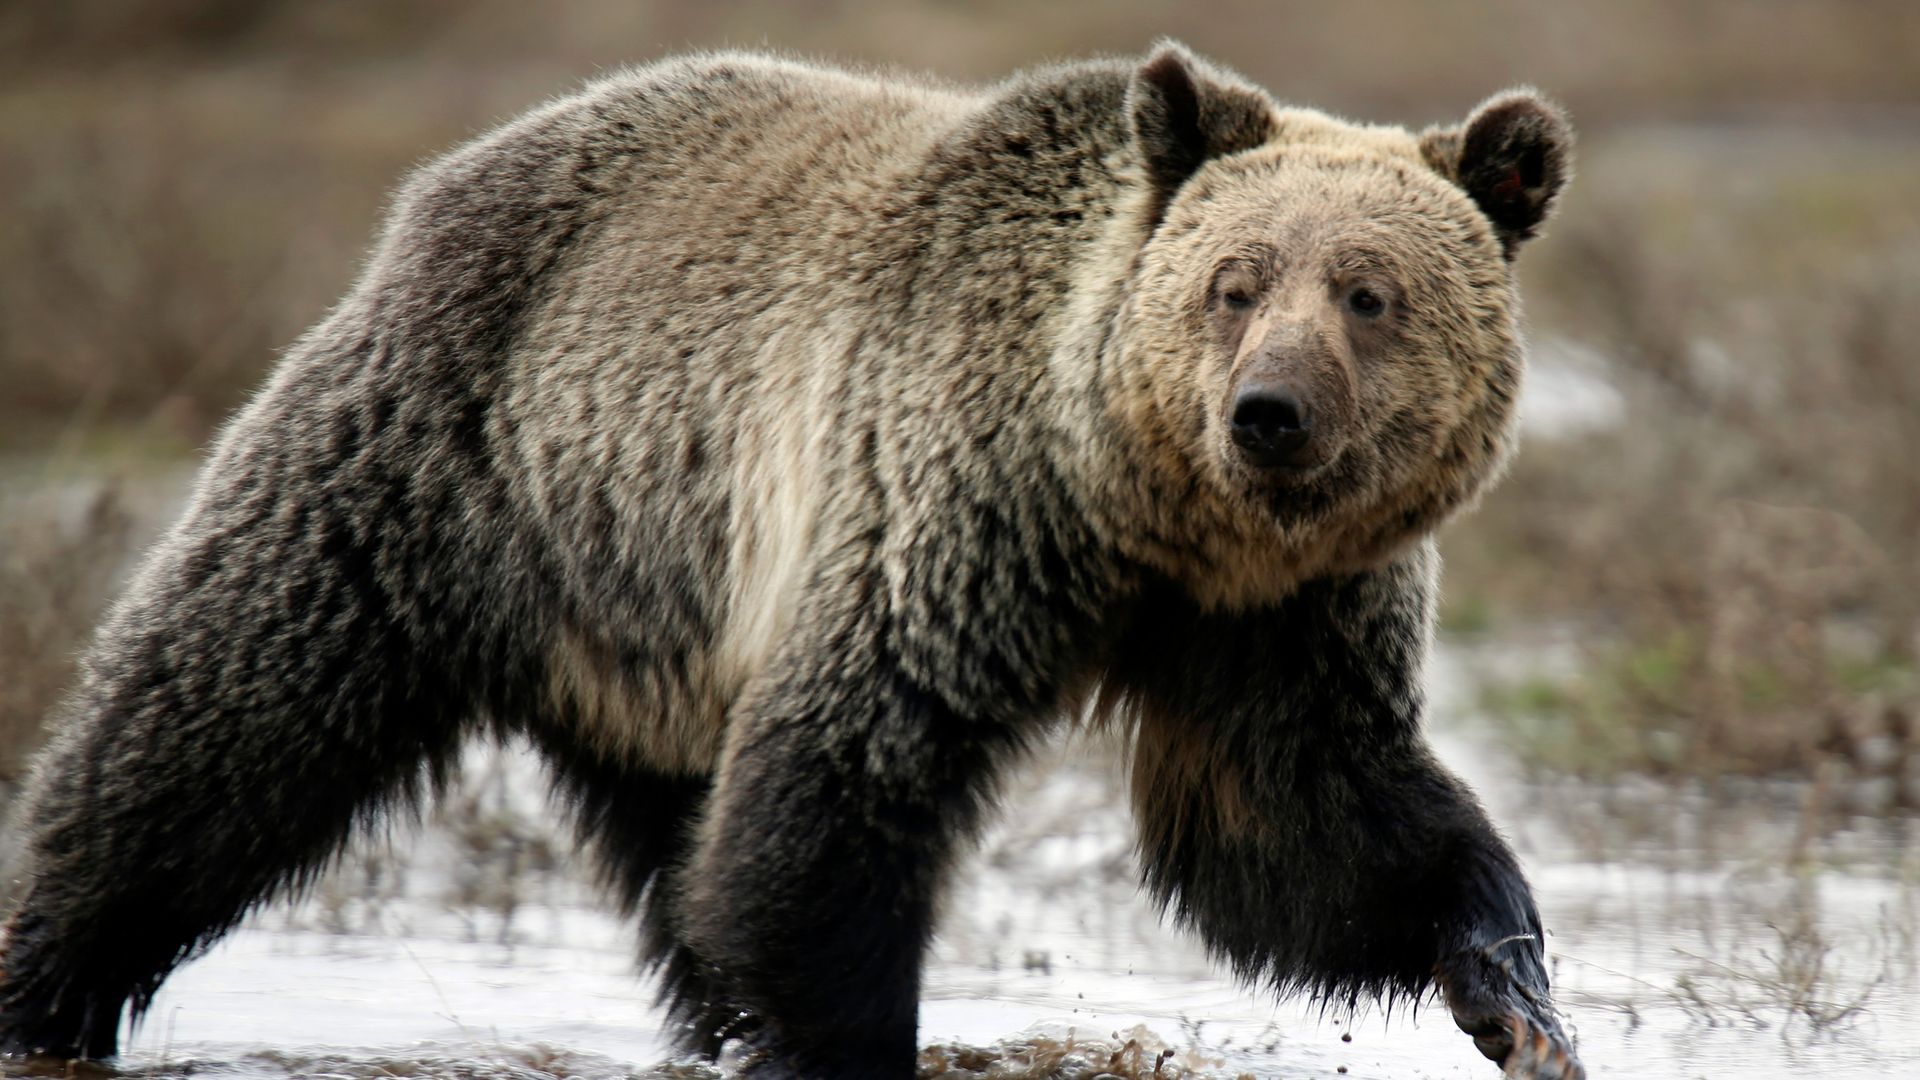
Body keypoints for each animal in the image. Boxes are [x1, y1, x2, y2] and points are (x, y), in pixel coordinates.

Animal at [0, 42, 1579, 1079]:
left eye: (1370, 294)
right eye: (1234, 284)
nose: (1269, 413)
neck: (1144, 513)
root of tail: (455, 172)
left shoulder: (1280, 618)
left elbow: (1303, 822)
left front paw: (1513, 986)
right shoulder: (951, 505)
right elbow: (847, 773)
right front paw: (837, 1040)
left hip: (651, 611)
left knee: (677, 837)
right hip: (449, 462)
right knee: (218, 717)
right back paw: (49, 978)